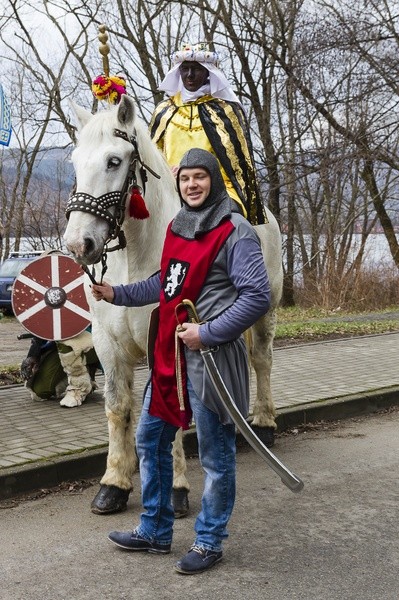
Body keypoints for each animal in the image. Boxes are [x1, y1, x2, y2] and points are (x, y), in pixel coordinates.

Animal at [63, 95, 284, 516]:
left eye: (114, 161)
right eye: (75, 162)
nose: (78, 244)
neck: (135, 254)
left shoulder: (169, 340)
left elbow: (170, 409)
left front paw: (174, 489)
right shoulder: (107, 345)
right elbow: (118, 407)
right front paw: (115, 482)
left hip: (265, 310)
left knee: (261, 360)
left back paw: (263, 423)